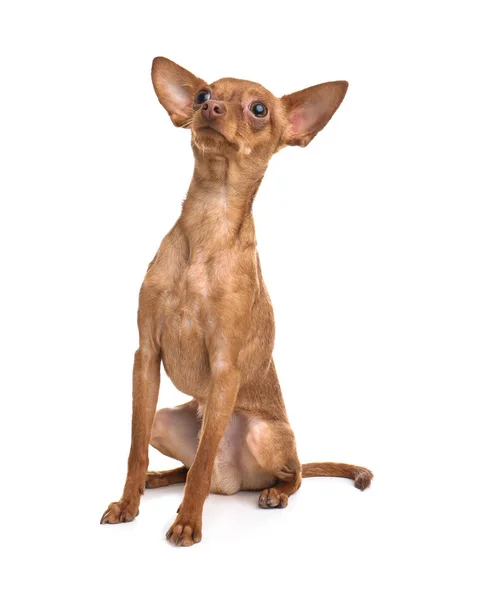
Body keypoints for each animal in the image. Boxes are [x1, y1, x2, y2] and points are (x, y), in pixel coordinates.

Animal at [101, 58, 372, 548]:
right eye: (202, 95)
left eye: (259, 109)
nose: (211, 108)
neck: (209, 219)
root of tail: (235, 483)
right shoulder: (145, 357)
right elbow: (135, 449)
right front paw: (128, 503)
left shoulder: (225, 370)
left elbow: (203, 460)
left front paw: (187, 523)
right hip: (164, 419)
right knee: (188, 464)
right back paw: (158, 480)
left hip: (265, 433)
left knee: (284, 473)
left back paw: (273, 493)